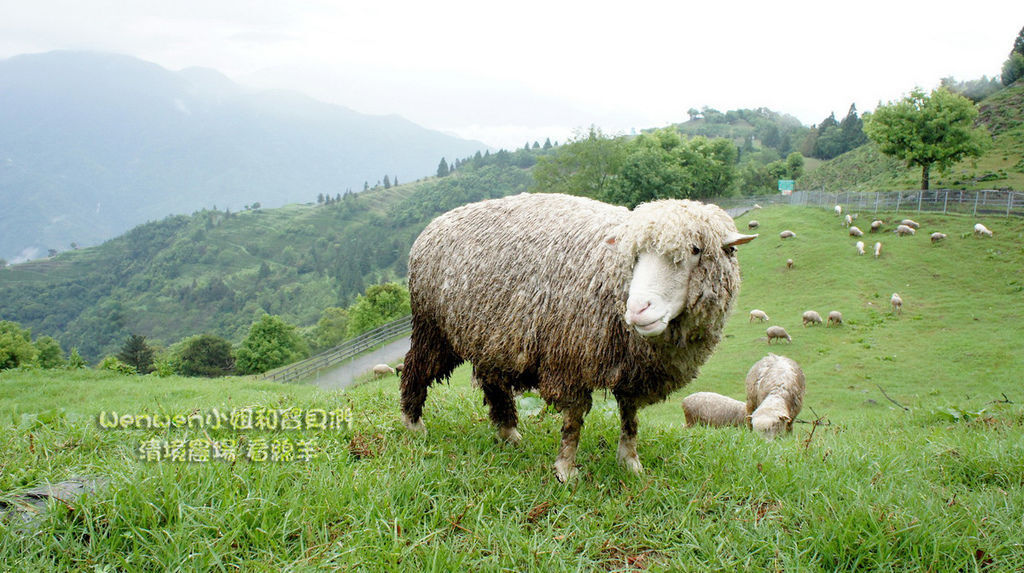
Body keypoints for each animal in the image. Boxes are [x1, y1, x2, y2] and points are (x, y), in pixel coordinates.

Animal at [399, 190, 761, 480]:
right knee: (416, 367)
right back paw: (413, 424)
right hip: (434, 328)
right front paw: (566, 470)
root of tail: (434, 225)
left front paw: (630, 462)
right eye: (634, 255)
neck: (610, 277)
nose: (638, 309)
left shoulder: (634, 369)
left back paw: (508, 432)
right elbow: (573, 420)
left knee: (492, 381)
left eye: (697, 250)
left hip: (491, 336)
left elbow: (630, 418)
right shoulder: (568, 359)